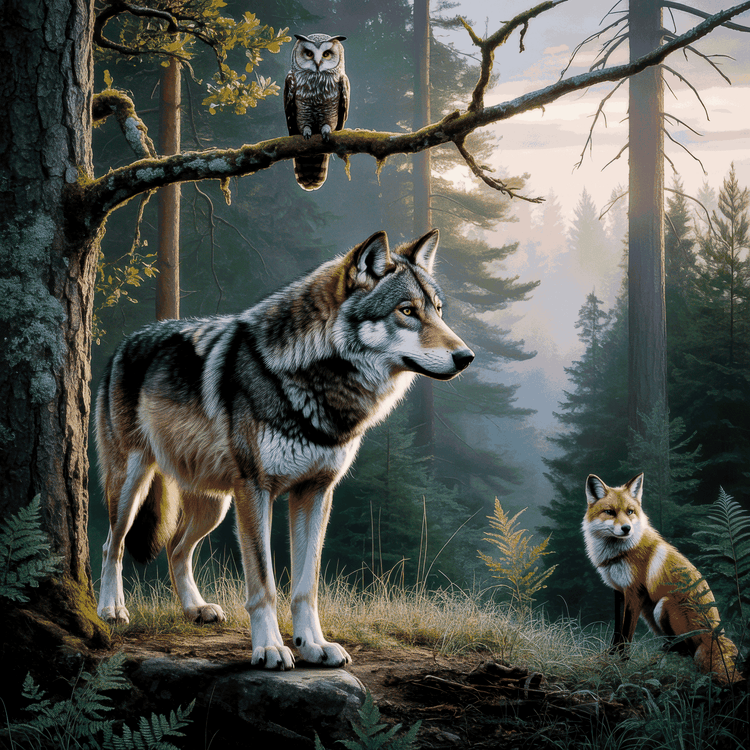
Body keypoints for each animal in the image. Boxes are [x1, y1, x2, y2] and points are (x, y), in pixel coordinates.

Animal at [96, 229, 474, 669]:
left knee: (176, 548)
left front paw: (313, 645)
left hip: (215, 503)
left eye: (438, 311)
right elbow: (265, 584)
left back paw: (195, 609)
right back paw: (111, 610)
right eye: (407, 310)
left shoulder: (315, 492)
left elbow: (306, 586)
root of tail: (125, 343)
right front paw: (270, 648)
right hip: (134, 486)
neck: (316, 384)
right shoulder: (257, 491)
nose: (467, 357)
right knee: (112, 544)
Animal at [583, 473, 741, 683]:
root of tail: (714, 637)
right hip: (650, 614)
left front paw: (622, 663)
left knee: (686, 651)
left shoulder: (635, 593)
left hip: (662, 605)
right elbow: (617, 632)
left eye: (630, 511)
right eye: (610, 512)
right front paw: (610, 657)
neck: (620, 553)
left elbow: (626, 634)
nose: (626, 528)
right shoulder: (619, 591)